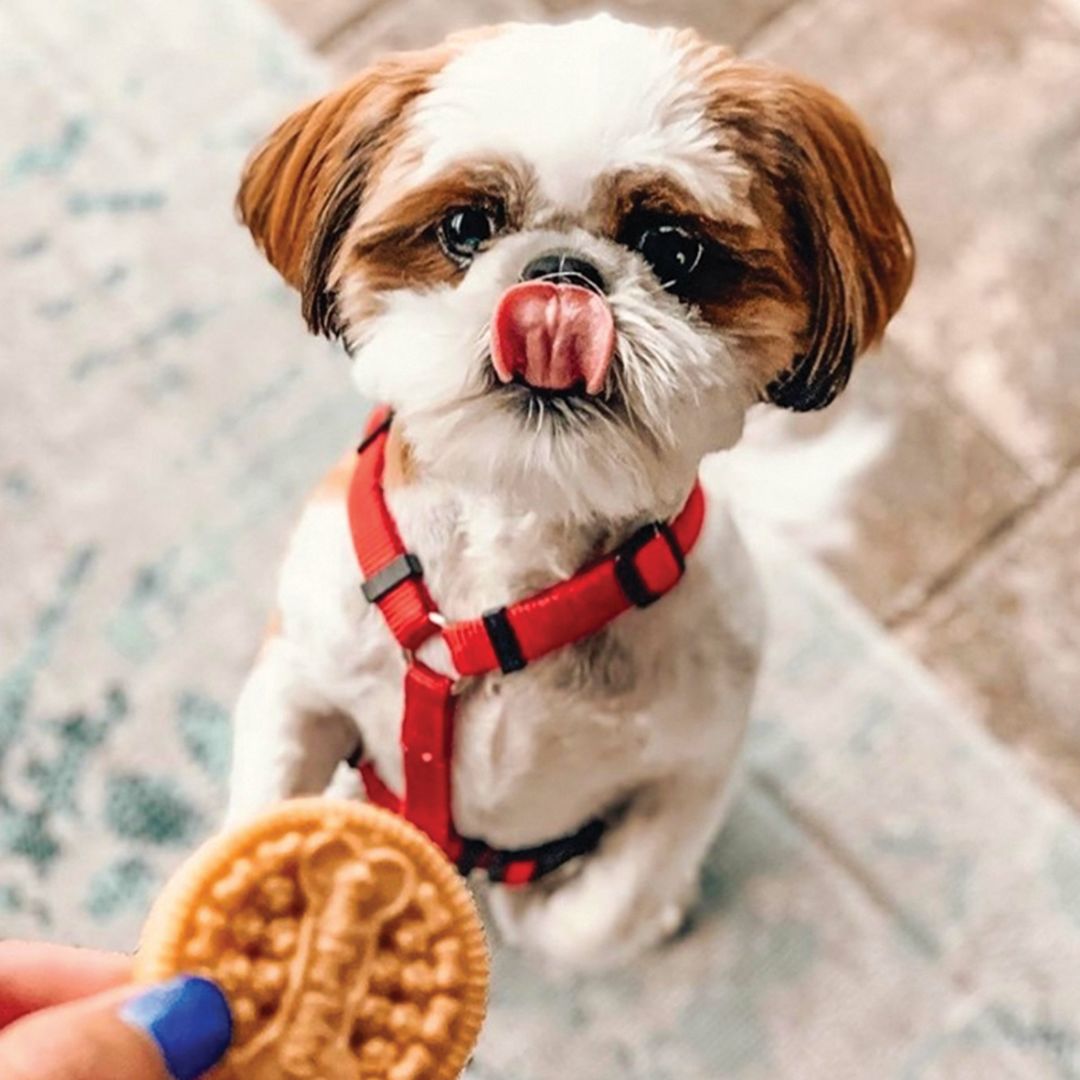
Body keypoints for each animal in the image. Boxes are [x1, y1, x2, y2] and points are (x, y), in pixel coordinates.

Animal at [225, 10, 911, 972]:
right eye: (465, 226)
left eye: (674, 249)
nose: (559, 274)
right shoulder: (301, 677)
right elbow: (262, 810)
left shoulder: (694, 768)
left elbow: (599, 916)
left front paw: (554, 906)